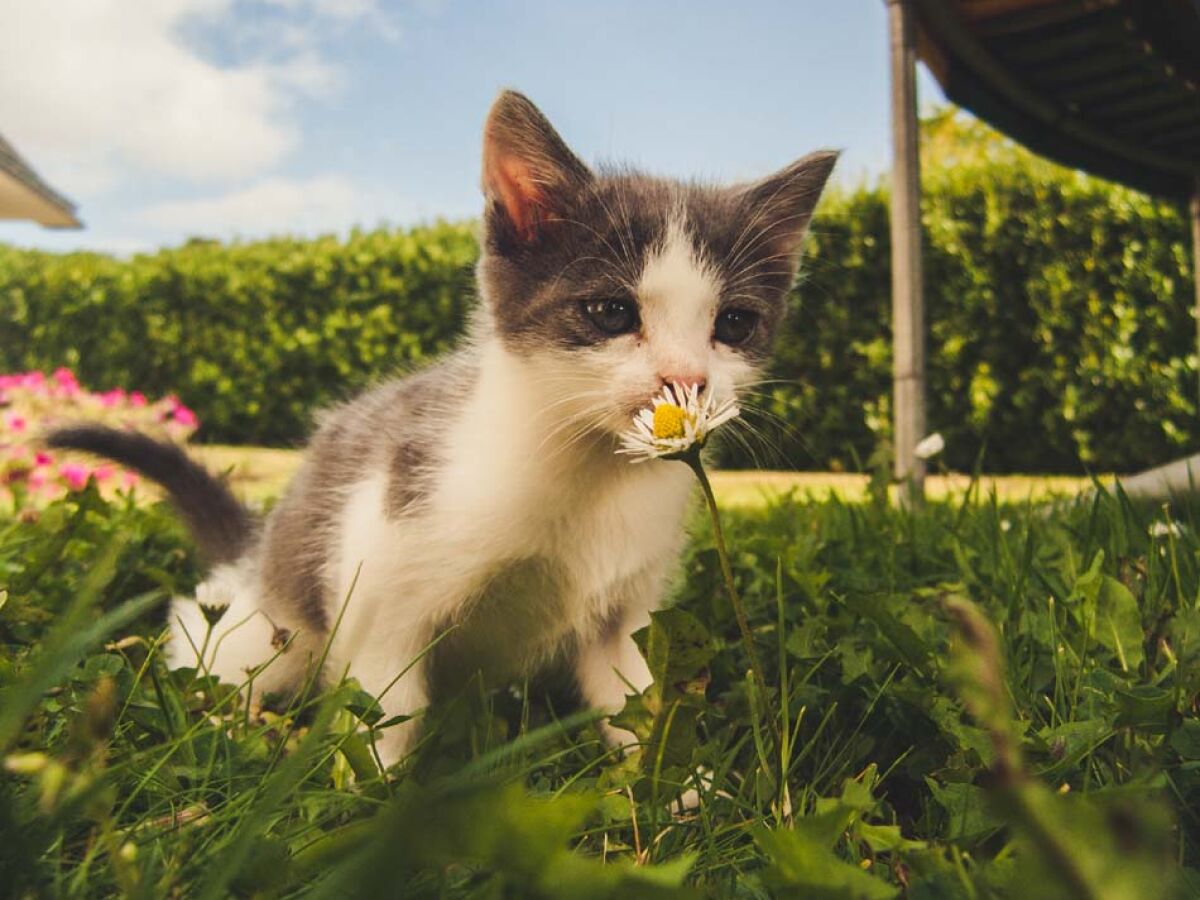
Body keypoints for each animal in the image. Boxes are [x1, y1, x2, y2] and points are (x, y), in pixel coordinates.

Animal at [51, 91, 840, 768]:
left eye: (733, 324)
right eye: (611, 313)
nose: (685, 380)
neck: (588, 471)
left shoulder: (622, 613)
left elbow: (635, 701)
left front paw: (686, 795)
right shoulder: (381, 576)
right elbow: (384, 712)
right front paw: (365, 809)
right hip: (272, 623)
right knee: (213, 640)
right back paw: (230, 721)